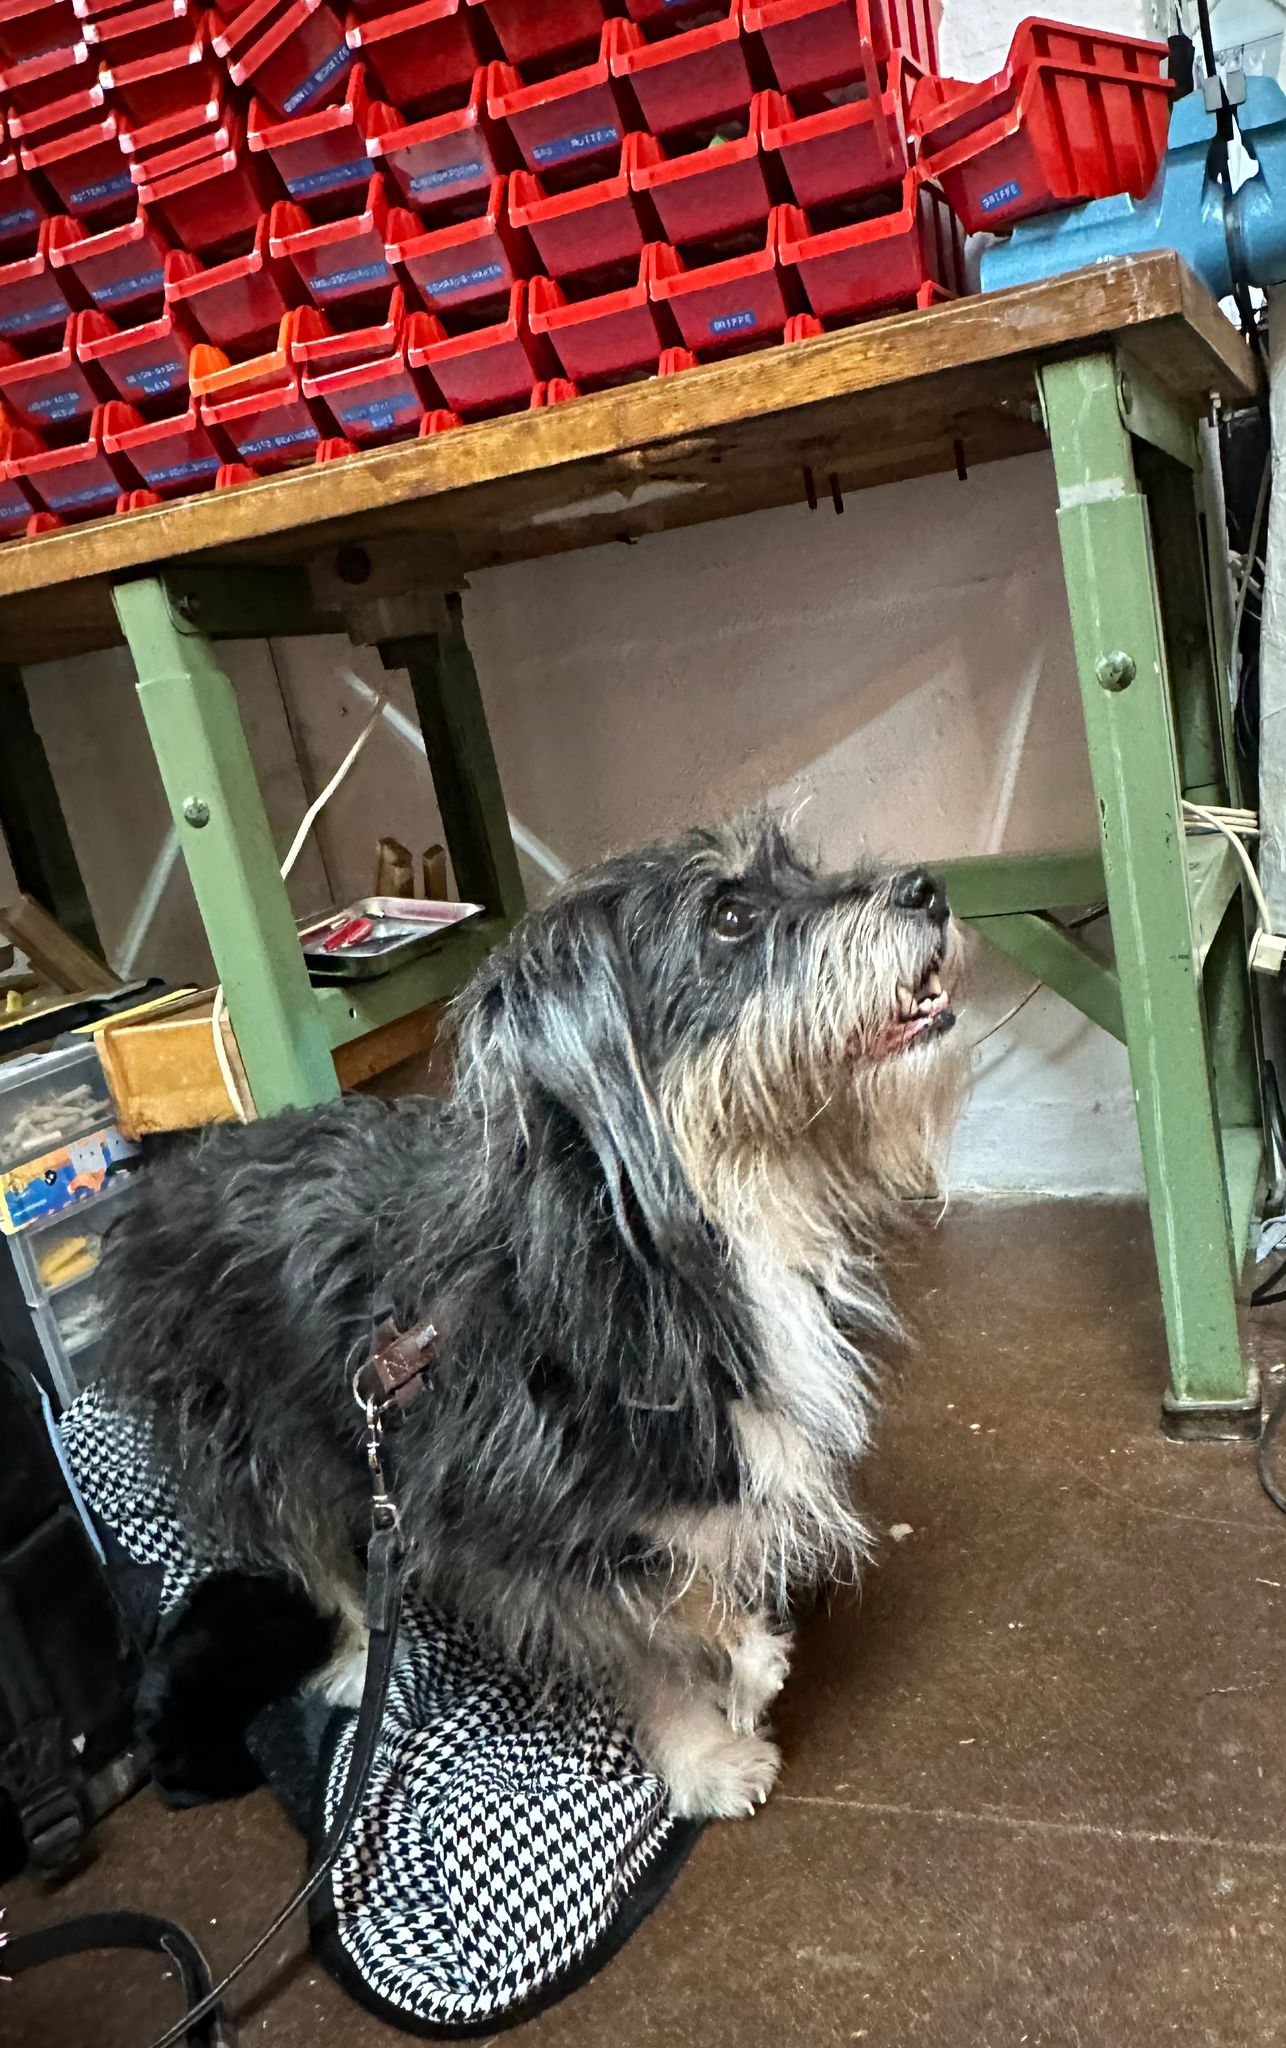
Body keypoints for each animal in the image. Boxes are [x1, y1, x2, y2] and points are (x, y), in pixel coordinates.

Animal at [100, 817, 964, 1820]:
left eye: (801, 870)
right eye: (729, 915)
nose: (930, 890)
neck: (662, 1238)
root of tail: (176, 1169)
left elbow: (695, 1572)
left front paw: (742, 1663)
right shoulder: (541, 1536)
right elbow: (654, 1628)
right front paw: (712, 1738)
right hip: (258, 1440)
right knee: (315, 1557)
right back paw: (356, 1658)